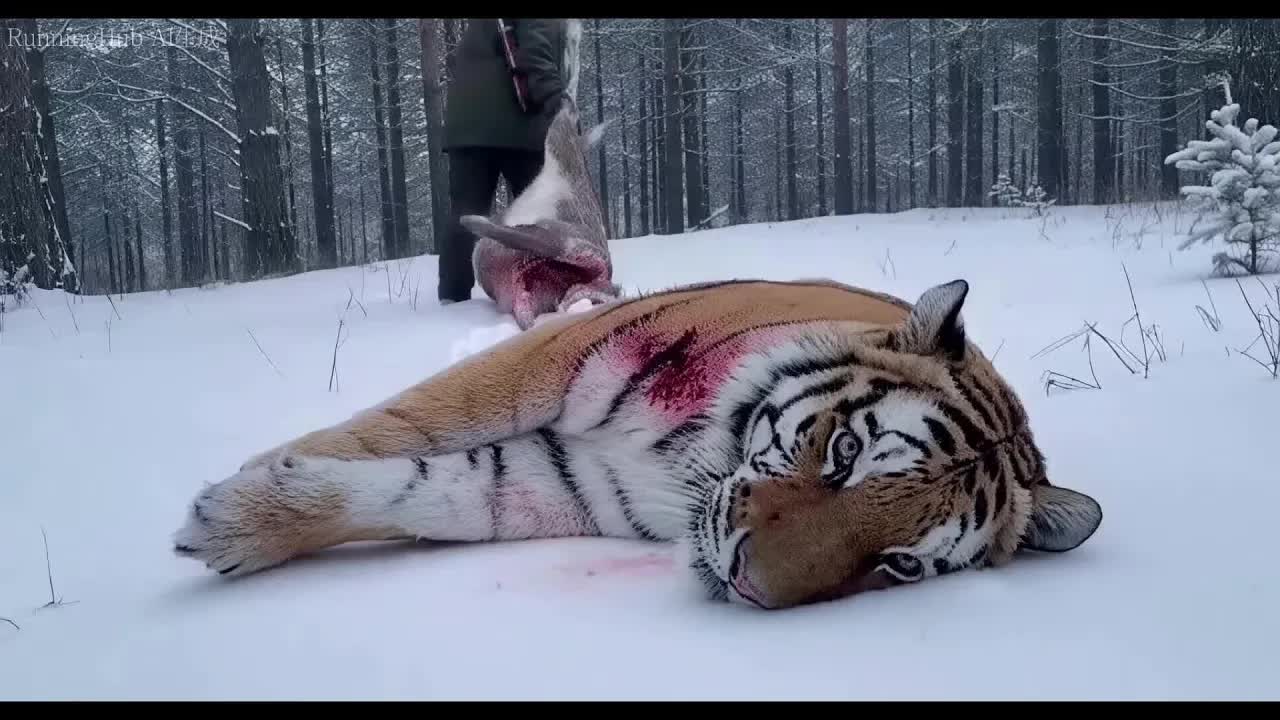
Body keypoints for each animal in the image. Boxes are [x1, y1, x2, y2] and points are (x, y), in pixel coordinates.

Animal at [173, 277, 1103, 610]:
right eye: (844, 452)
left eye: (900, 564)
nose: (747, 586)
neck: (688, 455)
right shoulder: (547, 359)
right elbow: (405, 425)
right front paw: (246, 489)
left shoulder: (562, 483)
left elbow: (435, 492)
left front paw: (236, 523)